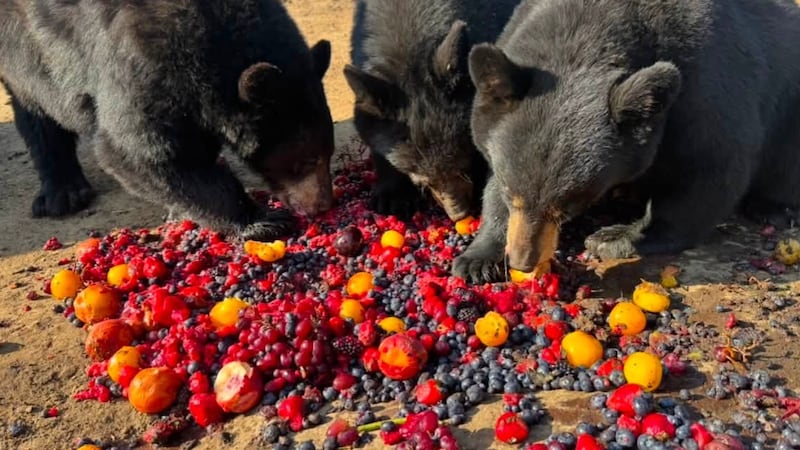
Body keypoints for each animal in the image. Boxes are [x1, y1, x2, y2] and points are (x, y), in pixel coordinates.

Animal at [0, 0, 335, 240]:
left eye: (328, 154)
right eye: (306, 161)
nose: (321, 206)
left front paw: (179, 209)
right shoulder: (140, 58)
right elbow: (137, 150)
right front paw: (264, 220)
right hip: (23, 46)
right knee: (38, 113)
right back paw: (63, 194)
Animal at [453, 0, 800, 284]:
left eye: (568, 206)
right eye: (512, 192)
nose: (523, 261)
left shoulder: (705, 86)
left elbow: (711, 167)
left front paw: (616, 237)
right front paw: (478, 259)